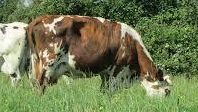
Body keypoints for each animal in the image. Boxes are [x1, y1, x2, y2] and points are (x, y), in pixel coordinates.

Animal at [26, 14, 172, 96]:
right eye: (167, 91)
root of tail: (41, 18)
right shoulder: (117, 72)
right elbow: (110, 92)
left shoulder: (105, 74)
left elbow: (104, 90)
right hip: (48, 62)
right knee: (40, 85)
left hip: (37, 62)